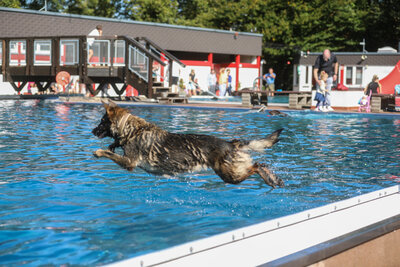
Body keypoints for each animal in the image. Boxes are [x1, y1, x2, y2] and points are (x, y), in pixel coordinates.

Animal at [92, 100, 284, 188]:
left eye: (101, 122)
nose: (92, 131)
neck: (130, 129)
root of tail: (230, 143)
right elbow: (112, 150)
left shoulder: (129, 163)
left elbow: (109, 154)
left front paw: (99, 152)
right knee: (259, 164)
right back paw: (273, 179)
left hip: (229, 175)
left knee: (257, 165)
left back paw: (269, 178)